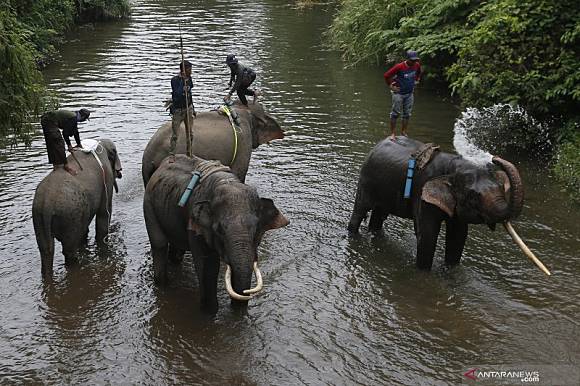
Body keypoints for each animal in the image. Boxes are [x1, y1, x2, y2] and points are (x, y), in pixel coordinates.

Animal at [32, 140, 122, 278]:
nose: (119, 172)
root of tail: (47, 203)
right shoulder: (106, 177)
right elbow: (104, 212)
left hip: (39, 217)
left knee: (46, 250)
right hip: (69, 215)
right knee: (69, 249)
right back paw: (77, 265)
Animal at [144, 154, 288, 314]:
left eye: (256, 229)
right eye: (219, 230)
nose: (246, 294)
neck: (227, 182)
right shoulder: (196, 224)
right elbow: (208, 265)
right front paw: (209, 312)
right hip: (149, 205)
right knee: (159, 245)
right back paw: (162, 283)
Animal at [346, 136, 552, 274]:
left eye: (502, 187)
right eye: (474, 196)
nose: (494, 158)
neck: (452, 168)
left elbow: (458, 236)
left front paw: (451, 272)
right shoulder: (422, 193)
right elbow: (427, 234)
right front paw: (424, 273)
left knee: (379, 215)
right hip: (366, 181)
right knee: (360, 210)